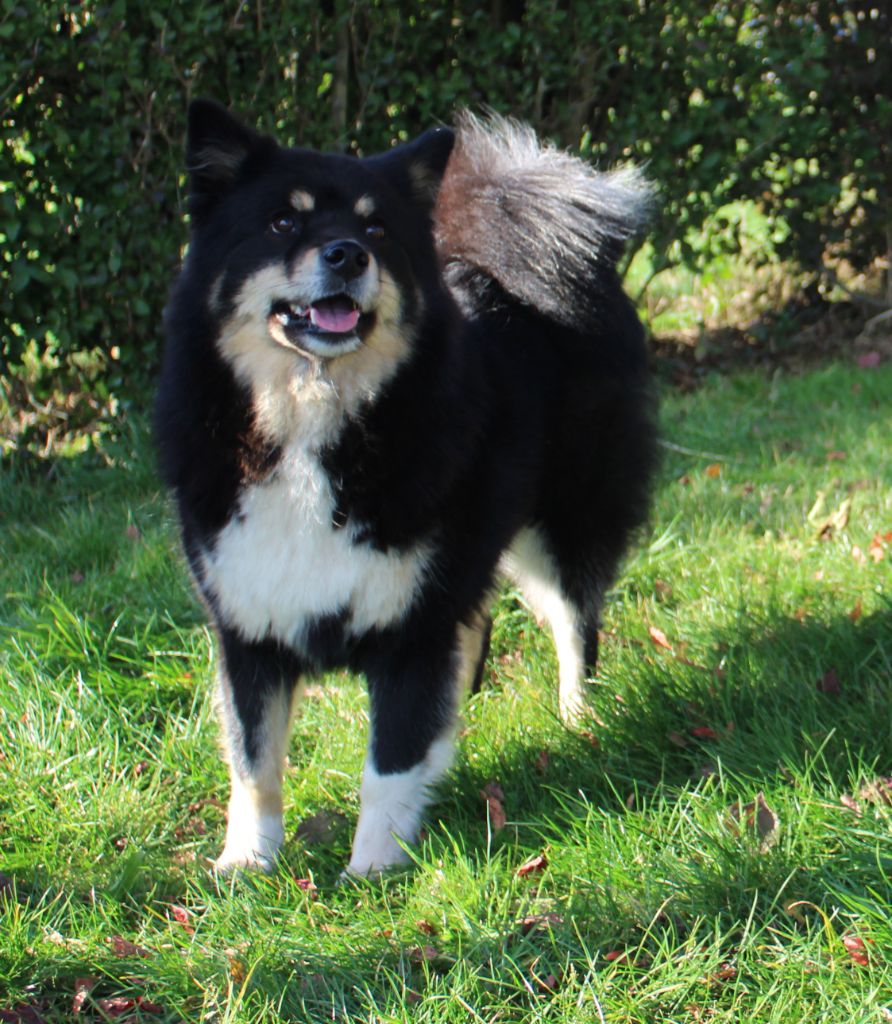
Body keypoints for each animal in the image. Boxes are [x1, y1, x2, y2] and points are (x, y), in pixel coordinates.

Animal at [156, 99, 655, 876]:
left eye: (375, 229)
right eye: (283, 221)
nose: (347, 255)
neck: (314, 423)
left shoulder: (412, 623)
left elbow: (389, 759)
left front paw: (375, 868)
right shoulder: (247, 621)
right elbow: (253, 758)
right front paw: (248, 862)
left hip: (559, 518)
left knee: (576, 619)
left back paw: (581, 717)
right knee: (480, 621)